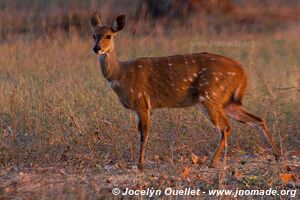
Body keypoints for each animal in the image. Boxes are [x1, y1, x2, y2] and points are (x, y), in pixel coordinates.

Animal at [90, 13, 280, 170]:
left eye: (108, 35)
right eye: (94, 35)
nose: (97, 48)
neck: (121, 75)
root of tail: (242, 72)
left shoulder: (142, 101)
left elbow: (144, 134)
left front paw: (140, 166)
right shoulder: (140, 107)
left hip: (210, 96)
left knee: (226, 126)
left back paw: (212, 162)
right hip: (226, 101)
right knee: (257, 119)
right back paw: (277, 155)